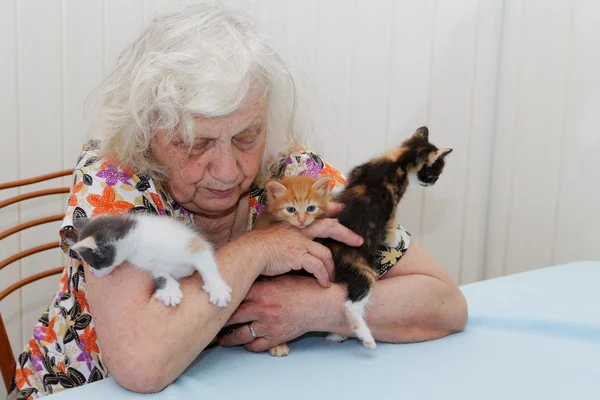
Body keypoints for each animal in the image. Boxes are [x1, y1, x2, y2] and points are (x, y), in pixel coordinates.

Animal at [66, 214, 232, 308]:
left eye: (92, 264)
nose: (92, 273)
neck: (138, 240)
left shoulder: (195, 243)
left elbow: (206, 264)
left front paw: (217, 289)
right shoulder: (154, 265)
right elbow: (161, 274)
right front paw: (169, 291)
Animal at [322, 126, 452, 348]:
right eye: (435, 172)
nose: (433, 182)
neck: (398, 161)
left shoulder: (359, 170)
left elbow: (345, 184)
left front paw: (335, 190)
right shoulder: (392, 203)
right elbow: (389, 229)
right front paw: (397, 238)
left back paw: (335, 336)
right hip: (363, 269)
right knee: (351, 304)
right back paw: (366, 338)